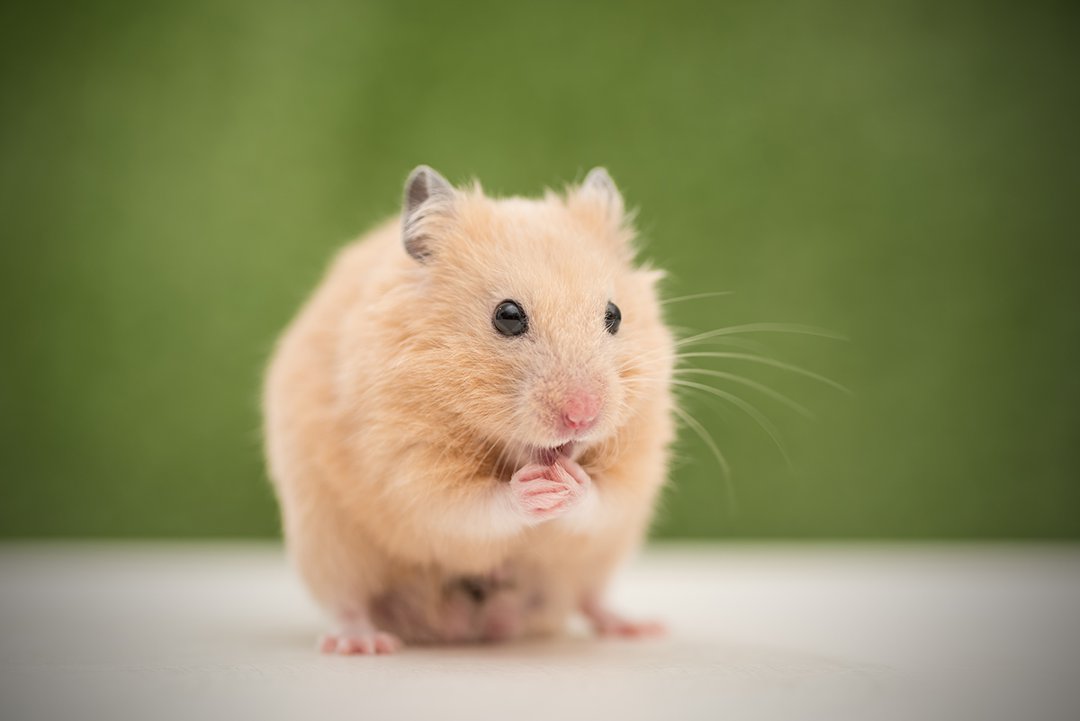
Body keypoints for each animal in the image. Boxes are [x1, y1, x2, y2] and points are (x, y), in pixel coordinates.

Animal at [262, 165, 673, 651]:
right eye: (508, 316)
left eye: (615, 315)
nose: (582, 416)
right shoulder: (406, 467)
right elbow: (467, 507)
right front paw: (534, 488)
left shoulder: (637, 467)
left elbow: (604, 499)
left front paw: (570, 483)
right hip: (326, 543)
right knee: (348, 602)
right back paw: (363, 643)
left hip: (598, 561)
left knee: (588, 597)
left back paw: (638, 627)